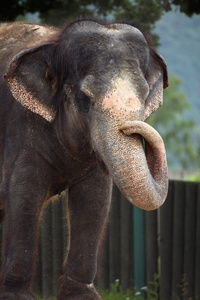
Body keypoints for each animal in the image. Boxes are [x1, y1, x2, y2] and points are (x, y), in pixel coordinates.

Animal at [0, 19, 169, 298]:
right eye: (85, 99)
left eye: (145, 97)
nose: (131, 127)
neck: (52, 43)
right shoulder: (19, 131)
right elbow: (23, 195)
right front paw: (15, 296)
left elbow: (94, 202)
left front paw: (82, 296)